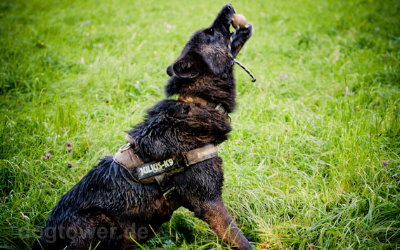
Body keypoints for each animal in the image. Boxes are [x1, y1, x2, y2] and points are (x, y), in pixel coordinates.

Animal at [35, 3, 253, 250]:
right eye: (210, 32)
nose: (228, 6)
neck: (197, 100)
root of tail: (42, 240)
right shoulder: (209, 202)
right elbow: (240, 239)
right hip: (98, 221)